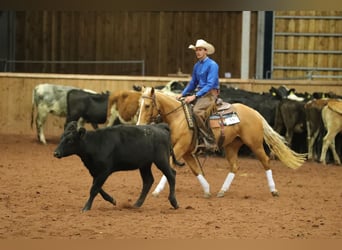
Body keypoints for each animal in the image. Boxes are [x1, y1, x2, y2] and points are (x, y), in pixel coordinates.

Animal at [137, 87, 308, 198]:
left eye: (147, 105)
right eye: (139, 105)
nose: (139, 125)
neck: (179, 117)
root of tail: (254, 112)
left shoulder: (180, 149)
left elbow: (170, 166)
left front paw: (157, 191)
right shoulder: (186, 153)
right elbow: (195, 170)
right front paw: (207, 190)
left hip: (255, 144)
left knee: (265, 161)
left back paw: (273, 190)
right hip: (231, 146)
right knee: (234, 166)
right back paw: (222, 191)